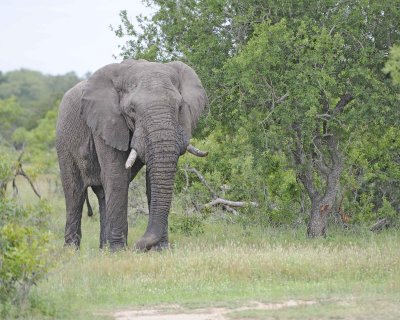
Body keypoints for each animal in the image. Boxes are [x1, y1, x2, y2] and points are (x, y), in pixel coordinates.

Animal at [57, 59, 209, 250]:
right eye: (132, 110)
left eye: (179, 107)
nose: (137, 246)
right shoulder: (106, 122)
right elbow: (117, 176)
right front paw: (119, 252)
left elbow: (151, 180)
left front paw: (161, 250)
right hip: (64, 141)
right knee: (75, 194)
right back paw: (73, 252)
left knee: (102, 193)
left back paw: (104, 250)